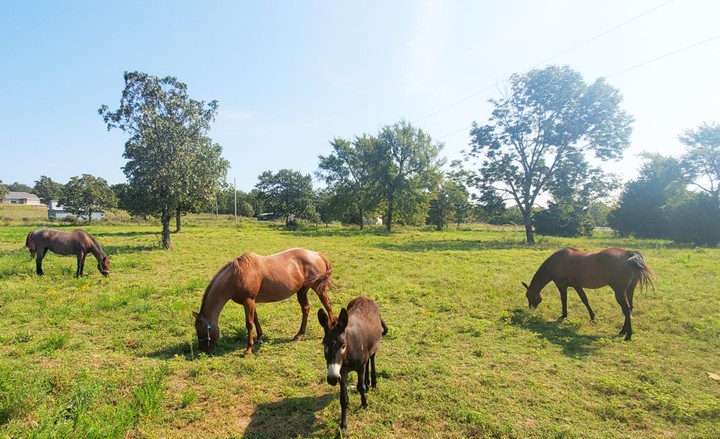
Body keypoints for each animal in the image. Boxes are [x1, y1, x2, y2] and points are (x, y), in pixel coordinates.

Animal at [192, 248, 336, 356]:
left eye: (199, 330)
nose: (203, 350)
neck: (236, 275)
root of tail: (317, 254)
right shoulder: (251, 301)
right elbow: (255, 319)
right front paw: (259, 337)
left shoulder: (248, 300)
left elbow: (249, 323)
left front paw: (248, 349)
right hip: (302, 291)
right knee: (306, 308)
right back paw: (299, 335)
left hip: (318, 288)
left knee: (327, 304)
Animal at [318, 296, 387, 436]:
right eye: (325, 345)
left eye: (343, 346)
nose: (332, 378)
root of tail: (364, 297)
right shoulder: (342, 372)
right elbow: (343, 399)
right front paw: (343, 427)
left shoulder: (359, 367)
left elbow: (360, 386)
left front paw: (364, 404)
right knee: (367, 362)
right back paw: (368, 383)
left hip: (373, 347)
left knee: (371, 359)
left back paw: (373, 382)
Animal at [522, 247, 654, 341]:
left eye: (528, 296)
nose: (530, 309)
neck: (557, 261)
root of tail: (629, 254)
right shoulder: (577, 285)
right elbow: (585, 300)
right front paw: (592, 317)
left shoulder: (561, 284)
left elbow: (564, 299)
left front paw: (563, 315)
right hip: (629, 290)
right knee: (630, 307)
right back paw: (623, 331)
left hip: (619, 291)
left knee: (626, 309)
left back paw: (628, 335)